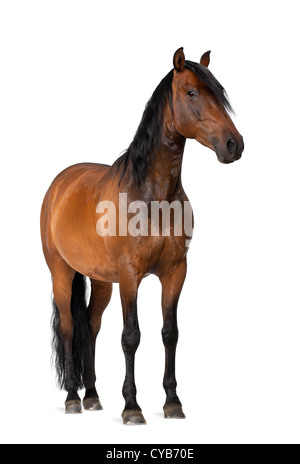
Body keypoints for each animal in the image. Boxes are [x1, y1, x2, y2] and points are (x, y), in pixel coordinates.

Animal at [39, 47, 244, 424]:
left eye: (220, 94)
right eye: (192, 93)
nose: (233, 144)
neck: (151, 195)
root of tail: (60, 184)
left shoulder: (175, 272)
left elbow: (170, 333)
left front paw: (172, 402)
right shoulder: (130, 276)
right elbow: (131, 336)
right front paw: (132, 406)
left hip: (101, 281)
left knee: (91, 325)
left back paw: (93, 395)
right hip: (61, 272)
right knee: (69, 327)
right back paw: (73, 397)